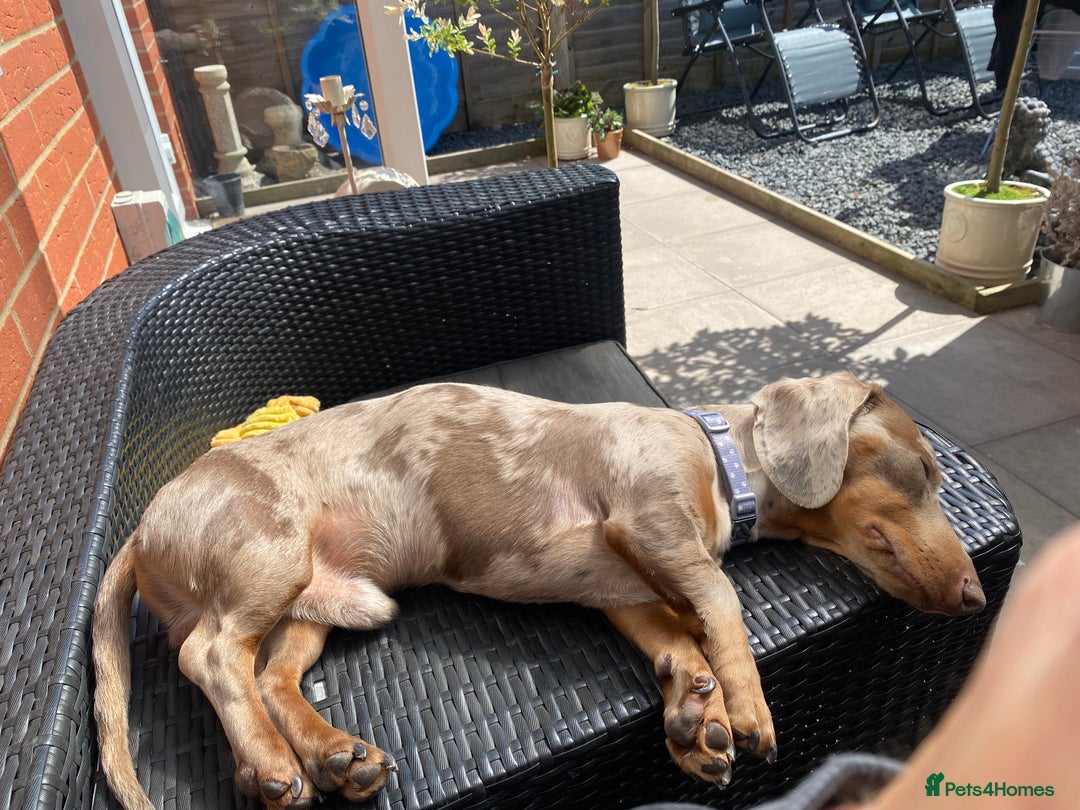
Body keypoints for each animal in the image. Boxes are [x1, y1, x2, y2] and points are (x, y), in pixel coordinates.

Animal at [93, 372, 985, 809]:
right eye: (925, 468)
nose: (978, 597)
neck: (719, 462)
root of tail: (139, 530)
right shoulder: (651, 522)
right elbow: (722, 604)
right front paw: (745, 706)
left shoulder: (622, 589)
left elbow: (674, 638)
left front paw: (695, 713)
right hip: (269, 553)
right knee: (212, 656)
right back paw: (275, 766)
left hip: (328, 602)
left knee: (271, 676)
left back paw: (329, 757)